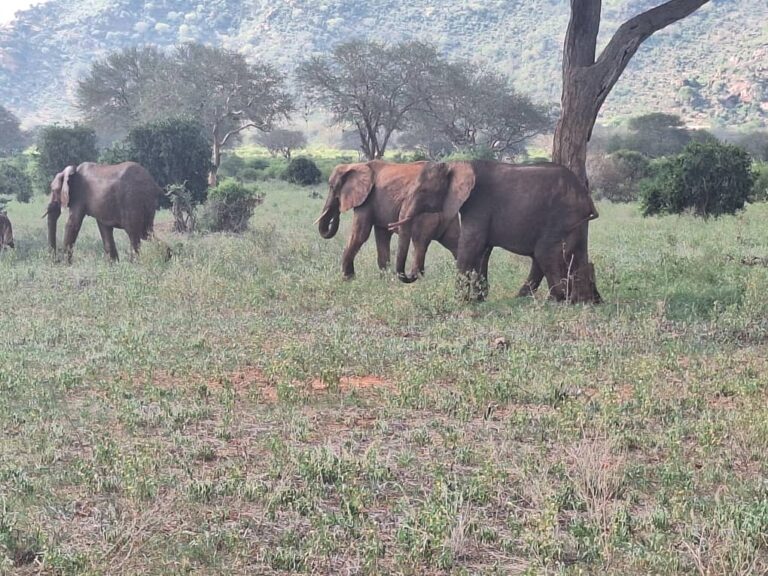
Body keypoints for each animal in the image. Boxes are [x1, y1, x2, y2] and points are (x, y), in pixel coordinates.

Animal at [316, 160, 461, 280]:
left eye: (332, 187)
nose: (336, 215)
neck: (356, 165)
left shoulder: (367, 200)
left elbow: (360, 235)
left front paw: (347, 279)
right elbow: (382, 235)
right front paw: (385, 281)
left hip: (426, 216)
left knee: (420, 243)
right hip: (449, 216)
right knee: (454, 242)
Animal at [389, 161, 601, 303]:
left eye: (422, 191)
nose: (412, 274)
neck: (456, 164)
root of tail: (587, 197)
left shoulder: (478, 204)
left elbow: (471, 246)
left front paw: (459, 301)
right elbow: (483, 251)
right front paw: (478, 299)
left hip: (562, 215)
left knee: (545, 254)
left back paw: (556, 300)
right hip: (575, 221)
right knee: (563, 254)